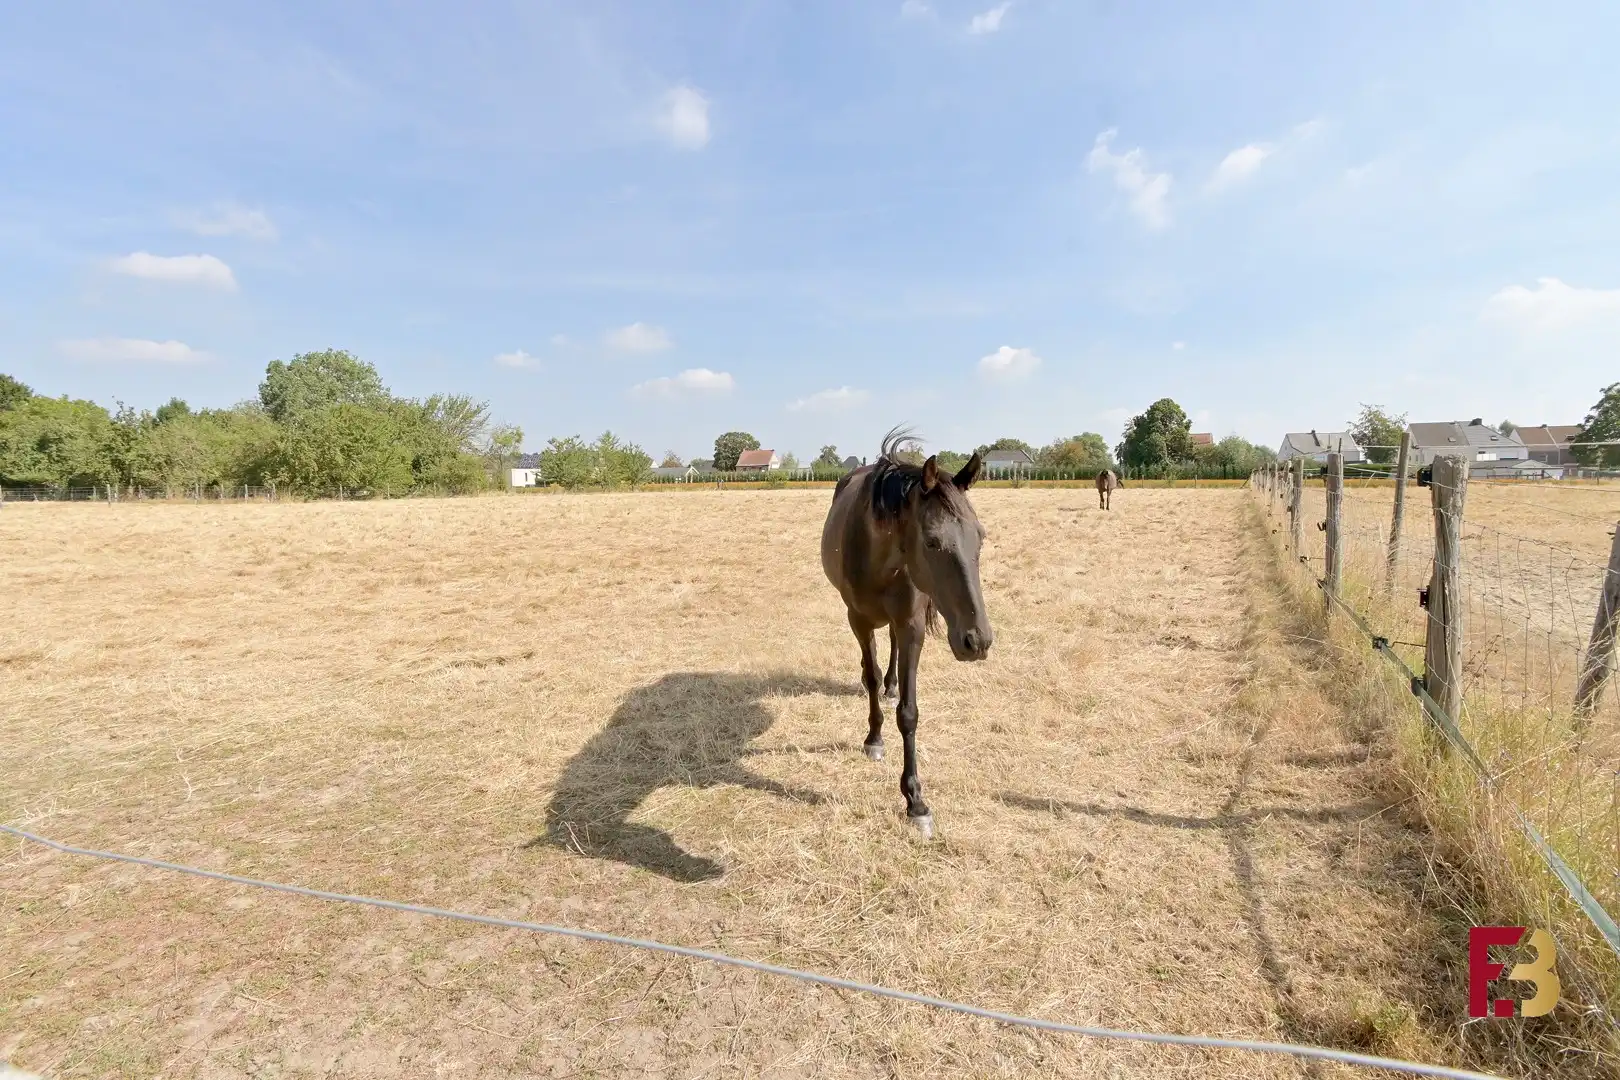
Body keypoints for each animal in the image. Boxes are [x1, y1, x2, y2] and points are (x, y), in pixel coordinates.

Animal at [821, 429, 993, 838]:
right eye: (931, 541)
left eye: (979, 538)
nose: (977, 641)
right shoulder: (858, 620)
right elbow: (869, 677)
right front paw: (874, 740)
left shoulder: (912, 623)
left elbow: (909, 712)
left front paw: (915, 800)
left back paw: (893, 684)